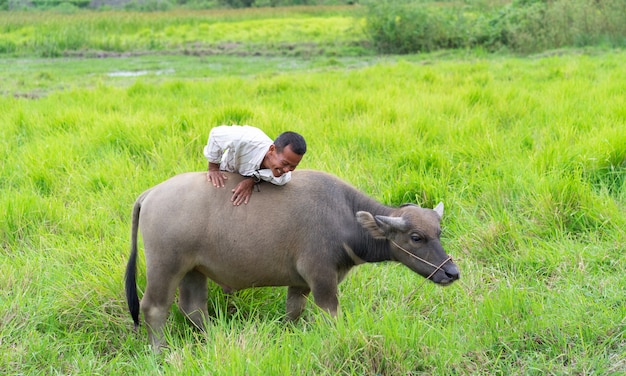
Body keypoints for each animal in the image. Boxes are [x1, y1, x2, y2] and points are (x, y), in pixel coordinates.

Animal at [125, 169, 458, 348]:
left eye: (439, 231)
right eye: (416, 237)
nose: (452, 272)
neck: (345, 216)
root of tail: (151, 193)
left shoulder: (300, 284)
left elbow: (293, 312)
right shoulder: (322, 279)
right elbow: (331, 315)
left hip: (194, 269)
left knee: (193, 307)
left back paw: (213, 339)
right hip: (166, 266)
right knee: (154, 308)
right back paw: (160, 350)